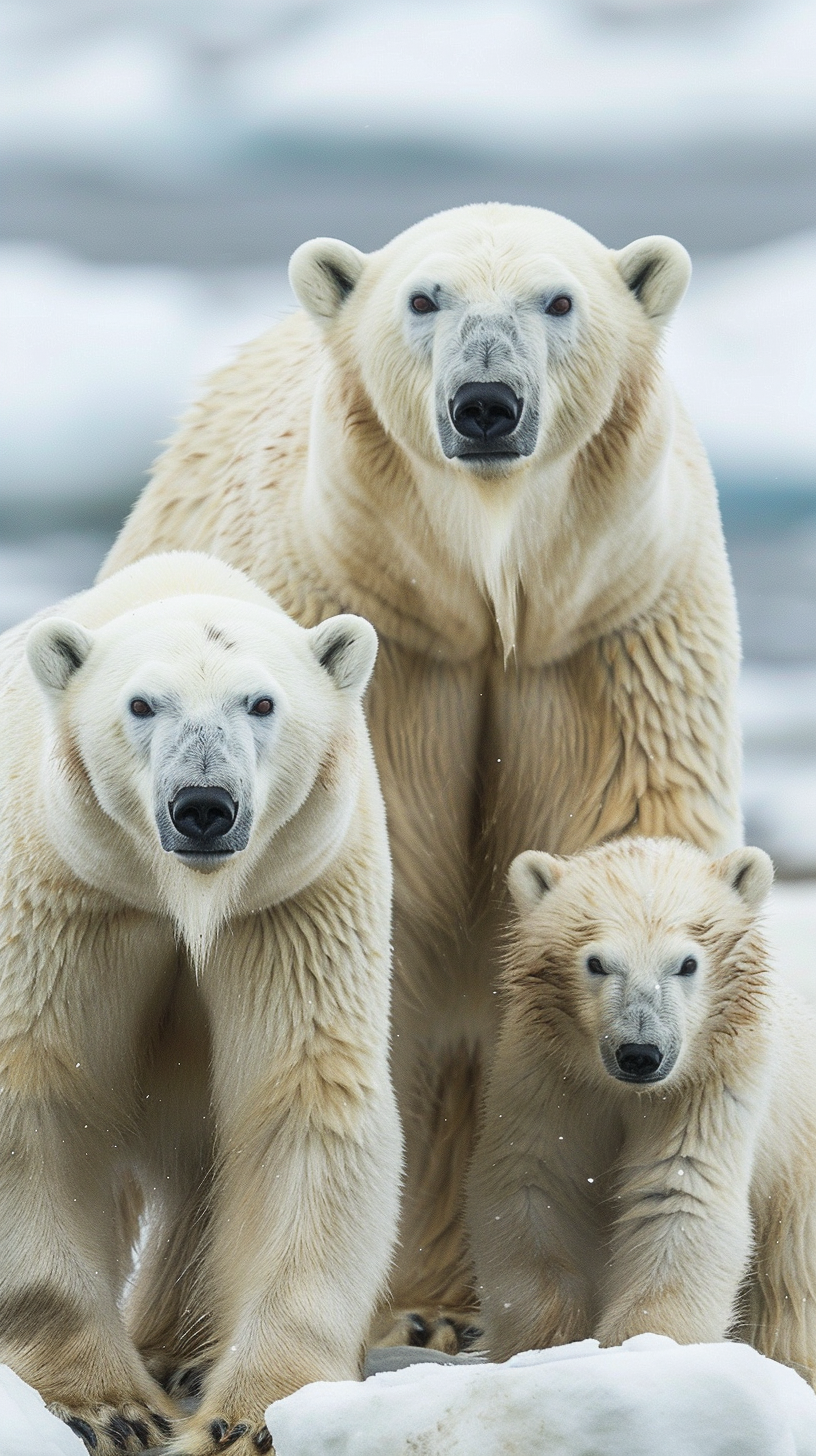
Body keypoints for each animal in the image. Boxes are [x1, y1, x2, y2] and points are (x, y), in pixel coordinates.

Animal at [0, 553, 402, 1456]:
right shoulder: (67, 897)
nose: (205, 805)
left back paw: (181, 1354)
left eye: (262, 702)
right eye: (141, 703)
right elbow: (34, 1100)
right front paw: (107, 1407)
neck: (181, 894)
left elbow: (305, 1103)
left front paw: (248, 1418)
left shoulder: (292, 904)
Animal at [100, 205, 740, 1351]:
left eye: (558, 298)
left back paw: (442, 1306)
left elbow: (619, 850)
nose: (486, 403)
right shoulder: (375, 655)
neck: (485, 592)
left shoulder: (612, 640)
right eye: (423, 297)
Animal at [466, 832, 816, 1386]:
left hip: (796, 1167)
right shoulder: (547, 1079)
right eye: (597, 963)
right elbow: (533, 1188)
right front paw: (546, 1349)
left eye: (687, 963)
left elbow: (679, 1194)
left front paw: (642, 1350)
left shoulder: (709, 1085)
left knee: (792, 1280)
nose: (639, 1053)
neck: (627, 1091)